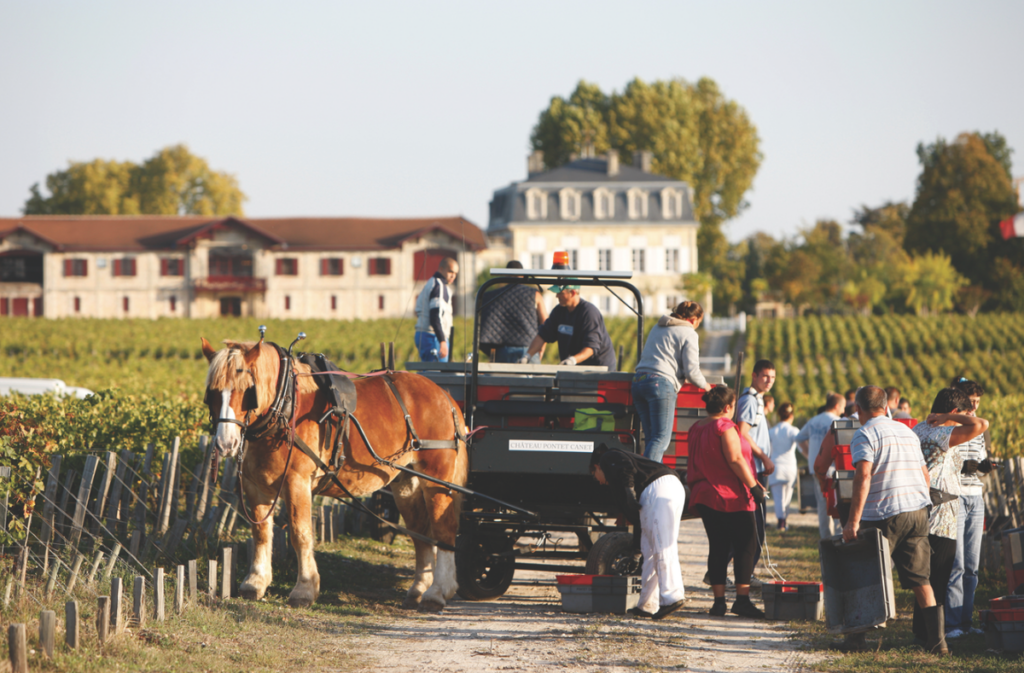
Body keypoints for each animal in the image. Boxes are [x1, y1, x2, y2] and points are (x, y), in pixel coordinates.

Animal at [200, 335, 471, 610]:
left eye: (247, 391)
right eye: (212, 394)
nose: (226, 443)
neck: (285, 406)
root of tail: (443, 395)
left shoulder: (296, 482)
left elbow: (300, 533)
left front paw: (305, 589)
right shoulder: (255, 487)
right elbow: (261, 533)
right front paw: (255, 582)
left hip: (437, 478)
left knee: (443, 529)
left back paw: (438, 592)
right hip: (407, 482)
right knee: (421, 533)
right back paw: (418, 589)